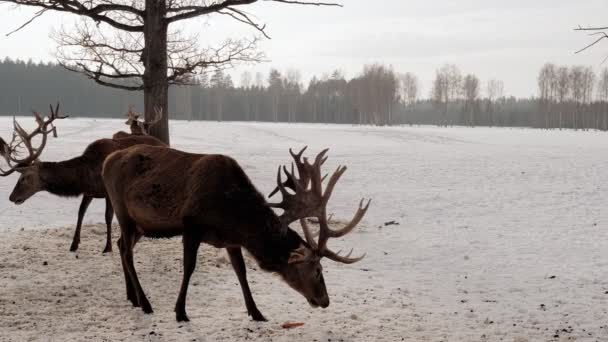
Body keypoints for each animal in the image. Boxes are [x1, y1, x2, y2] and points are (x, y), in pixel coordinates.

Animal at [1, 105, 166, 252]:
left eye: (24, 177)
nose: (11, 197)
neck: (90, 176)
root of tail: (163, 143)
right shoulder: (89, 192)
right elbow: (80, 212)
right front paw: (74, 244)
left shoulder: (109, 192)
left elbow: (108, 217)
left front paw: (108, 247)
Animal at [101, 145, 368, 324]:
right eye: (317, 270)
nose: (325, 300)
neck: (232, 214)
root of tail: (106, 161)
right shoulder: (191, 225)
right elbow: (189, 267)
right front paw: (180, 312)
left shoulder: (231, 240)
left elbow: (241, 272)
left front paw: (257, 313)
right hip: (122, 210)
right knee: (126, 251)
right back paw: (145, 303)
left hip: (139, 225)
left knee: (121, 245)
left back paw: (132, 297)